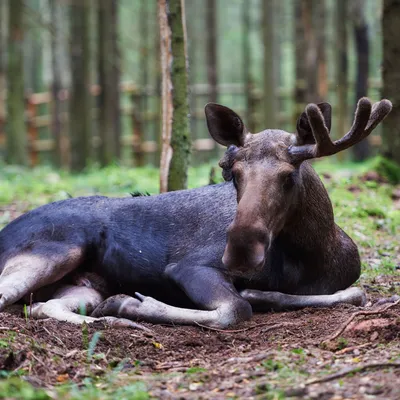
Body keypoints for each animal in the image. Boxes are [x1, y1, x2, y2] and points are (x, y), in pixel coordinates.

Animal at [0, 97, 390, 328]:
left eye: (288, 175)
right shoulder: (188, 266)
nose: (240, 251)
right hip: (56, 250)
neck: (315, 254)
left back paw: (108, 320)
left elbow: (357, 293)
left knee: (40, 307)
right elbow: (235, 309)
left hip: (85, 284)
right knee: (9, 298)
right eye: (233, 173)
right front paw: (133, 305)